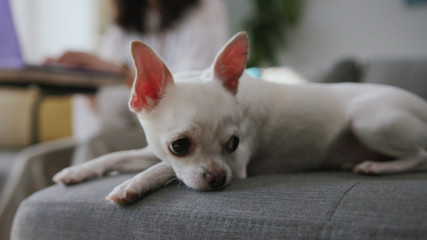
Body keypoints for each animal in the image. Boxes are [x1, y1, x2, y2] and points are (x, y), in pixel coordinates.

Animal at [54, 31, 427, 204]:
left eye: (233, 143)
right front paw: (77, 171)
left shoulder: (238, 166)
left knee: (421, 155)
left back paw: (377, 166)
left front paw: (129, 186)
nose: (219, 178)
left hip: (369, 120)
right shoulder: (153, 151)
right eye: (179, 146)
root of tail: (420, 103)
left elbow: (160, 169)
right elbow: (120, 155)